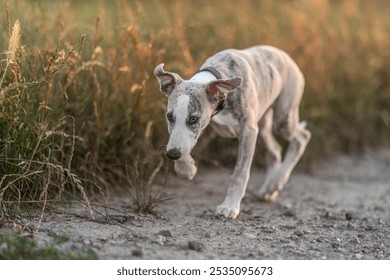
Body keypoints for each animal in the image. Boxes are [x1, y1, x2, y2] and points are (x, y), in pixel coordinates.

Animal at [154, 45, 310, 219]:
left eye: (193, 119)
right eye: (169, 116)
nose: (172, 154)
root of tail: (285, 55)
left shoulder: (248, 131)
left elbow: (239, 173)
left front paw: (229, 207)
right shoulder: (205, 125)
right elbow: (184, 142)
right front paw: (187, 168)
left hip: (282, 118)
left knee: (302, 137)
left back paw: (277, 182)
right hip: (262, 127)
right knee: (275, 150)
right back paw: (270, 189)